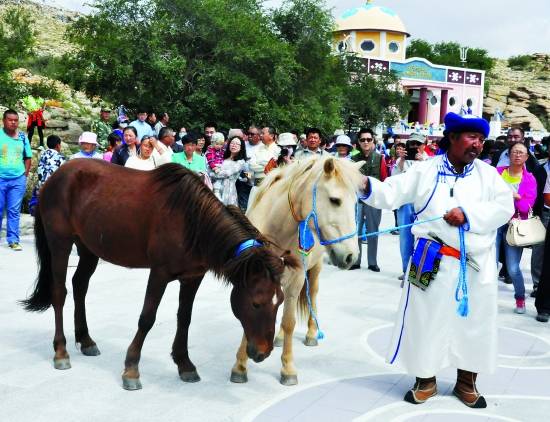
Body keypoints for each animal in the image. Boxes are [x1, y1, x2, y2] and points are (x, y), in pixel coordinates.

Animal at [20, 160, 298, 390]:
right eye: (256, 303)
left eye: (280, 302)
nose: (263, 353)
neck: (192, 221)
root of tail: (55, 177)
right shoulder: (159, 273)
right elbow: (147, 318)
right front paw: (131, 369)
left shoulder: (192, 277)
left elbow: (184, 318)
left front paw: (185, 364)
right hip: (60, 242)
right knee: (60, 292)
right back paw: (61, 351)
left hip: (88, 247)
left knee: (80, 286)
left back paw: (86, 340)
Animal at [230, 156, 364, 386]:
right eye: (335, 200)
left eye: (356, 203)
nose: (351, 256)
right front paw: (240, 366)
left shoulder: (297, 279)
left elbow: (289, 322)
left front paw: (288, 369)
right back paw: (279, 337)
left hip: (315, 269)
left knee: (312, 296)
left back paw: (311, 333)